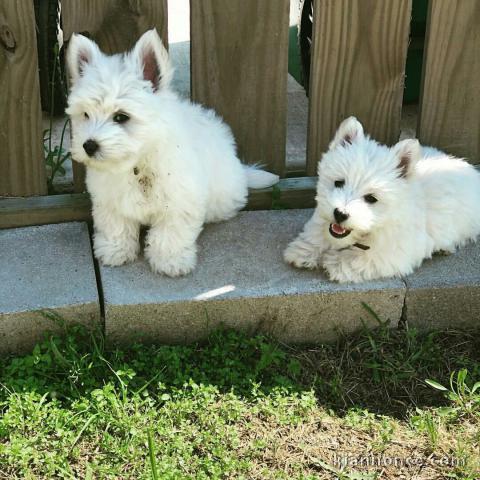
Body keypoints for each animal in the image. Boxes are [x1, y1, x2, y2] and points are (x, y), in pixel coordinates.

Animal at [65, 30, 280, 276]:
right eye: (85, 115)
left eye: (121, 117)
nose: (89, 146)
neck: (139, 161)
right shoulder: (109, 199)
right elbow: (115, 224)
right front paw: (115, 250)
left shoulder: (179, 200)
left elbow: (170, 233)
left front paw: (170, 260)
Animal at [284, 116, 480, 284]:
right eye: (339, 183)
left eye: (371, 198)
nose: (340, 214)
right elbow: (318, 231)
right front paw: (304, 250)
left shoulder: (393, 251)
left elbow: (364, 258)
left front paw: (336, 263)